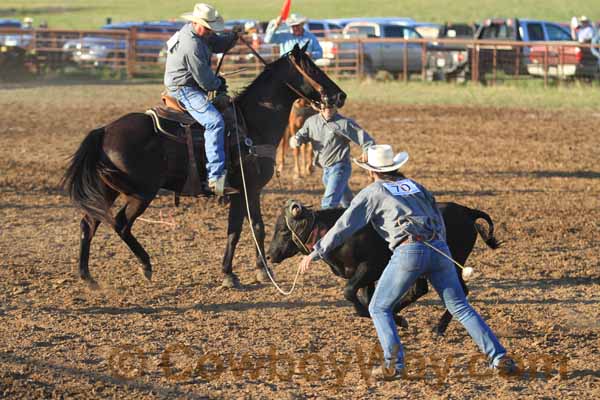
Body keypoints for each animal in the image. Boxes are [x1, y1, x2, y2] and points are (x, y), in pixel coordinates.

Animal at [61, 44, 346, 288]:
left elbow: (234, 231)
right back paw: (145, 265)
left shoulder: (238, 192)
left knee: (89, 223)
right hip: (142, 193)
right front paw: (262, 271)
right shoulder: (251, 188)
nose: (340, 95)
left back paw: (87, 277)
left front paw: (229, 273)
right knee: (119, 223)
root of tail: (104, 130)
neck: (252, 123)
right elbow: (256, 228)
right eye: (313, 69)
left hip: (109, 190)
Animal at [268, 200, 502, 334]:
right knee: (420, 289)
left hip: (450, 263)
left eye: (283, 230)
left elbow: (350, 293)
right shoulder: (365, 276)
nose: (269, 255)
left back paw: (438, 327)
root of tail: (467, 211)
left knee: (460, 290)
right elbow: (366, 298)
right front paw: (396, 319)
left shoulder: (370, 268)